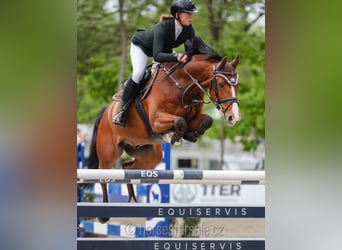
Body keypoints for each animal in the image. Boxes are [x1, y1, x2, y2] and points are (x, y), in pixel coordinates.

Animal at [84, 35, 239, 223]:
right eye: (222, 84)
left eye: (237, 85)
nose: (233, 118)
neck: (183, 85)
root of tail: (106, 112)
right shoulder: (156, 120)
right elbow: (180, 121)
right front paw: (174, 136)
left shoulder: (194, 118)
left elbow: (205, 121)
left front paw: (190, 135)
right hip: (109, 152)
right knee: (103, 173)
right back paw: (103, 215)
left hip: (148, 153)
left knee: (128, 167)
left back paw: (133, 200)